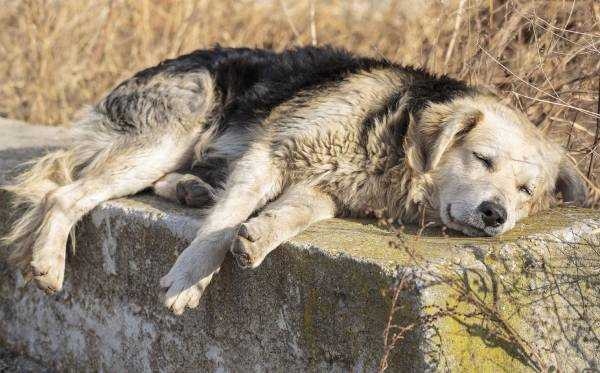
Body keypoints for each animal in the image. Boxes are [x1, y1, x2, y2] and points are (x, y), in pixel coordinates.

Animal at [2, 46, 596, 314]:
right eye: (483, 159)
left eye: (526, 192)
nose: (497, 215)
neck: (392, 136)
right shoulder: (270, 153)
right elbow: (218, 229)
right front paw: (190, 279)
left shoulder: (324, 191)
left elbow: (289, 216)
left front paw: (259, 237)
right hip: (171, 134)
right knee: (66, 194)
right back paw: (48, 261)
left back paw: (192, 188)